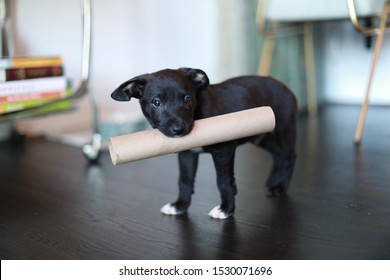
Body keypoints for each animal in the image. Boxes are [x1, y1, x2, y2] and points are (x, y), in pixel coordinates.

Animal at [111, 67, 298, 219]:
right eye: (156, 102)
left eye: (187, 99)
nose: (179, 129)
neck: (197, 112)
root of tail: (287, 89)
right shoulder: (187, 154)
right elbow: (185, 180)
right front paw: (180, 205)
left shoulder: (224, 150)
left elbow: (224, 181)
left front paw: (226, 209)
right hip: (262, 136)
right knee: (278, 155)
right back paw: (273, 182)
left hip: (283, 130)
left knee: (288, 156)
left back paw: (279, 187)